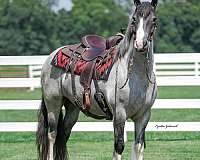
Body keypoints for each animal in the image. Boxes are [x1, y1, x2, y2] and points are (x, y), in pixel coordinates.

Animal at [36, 0, 158, 159]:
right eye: (133, 19)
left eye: (154, 19)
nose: (140, 44)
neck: (135, 77)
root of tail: (52, 56)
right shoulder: (119, 114)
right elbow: (119, 146)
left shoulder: (143, 116)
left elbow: (138, 146)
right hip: (53, 104)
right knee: (52, 135)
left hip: (72, 108)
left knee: (64, 134)